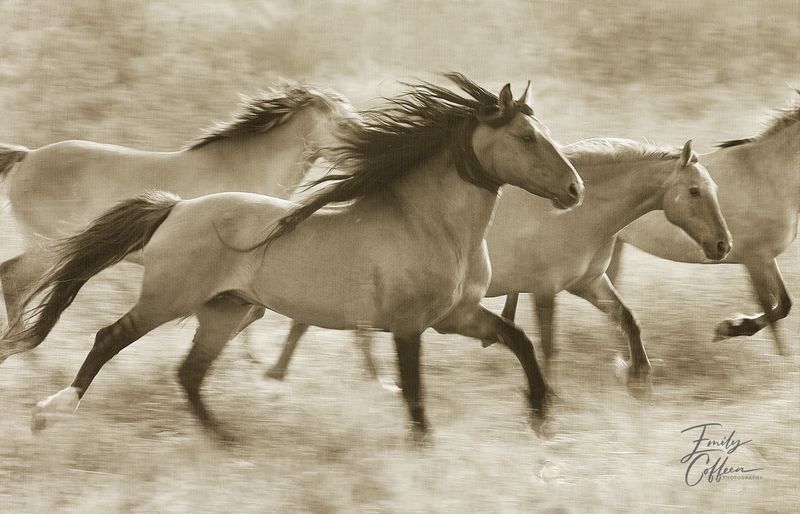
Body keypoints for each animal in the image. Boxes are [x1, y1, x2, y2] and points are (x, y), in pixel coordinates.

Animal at [263, 139, 733, 396]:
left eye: (712, 189)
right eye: (694, 191)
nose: (722, 245)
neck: (582, 213)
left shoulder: (589, 283)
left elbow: (629, 320)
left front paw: (640, 379)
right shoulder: (546, 289)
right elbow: (549, 345)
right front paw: (551, 390)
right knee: (321, 323)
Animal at [606, 91, 799, 356]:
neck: (769, 176)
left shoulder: (767, 258)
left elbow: (784, 304)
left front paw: (729, 328)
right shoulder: (755, 258)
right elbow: (773, 311)